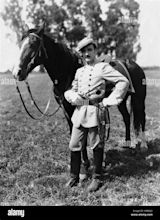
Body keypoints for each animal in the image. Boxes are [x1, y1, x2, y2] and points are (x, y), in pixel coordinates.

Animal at [12, 25, 148, 165]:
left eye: (33, 44)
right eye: (20, 45)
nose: (17, 72)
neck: (68, 72)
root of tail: (132, 64)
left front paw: (86, 162)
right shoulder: (65, 109)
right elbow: (73, 130)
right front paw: (82, 160)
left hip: (139, 99)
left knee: (141, 118)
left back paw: (142, 146)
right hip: (121, 99)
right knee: (127, 118)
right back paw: (128, 144)